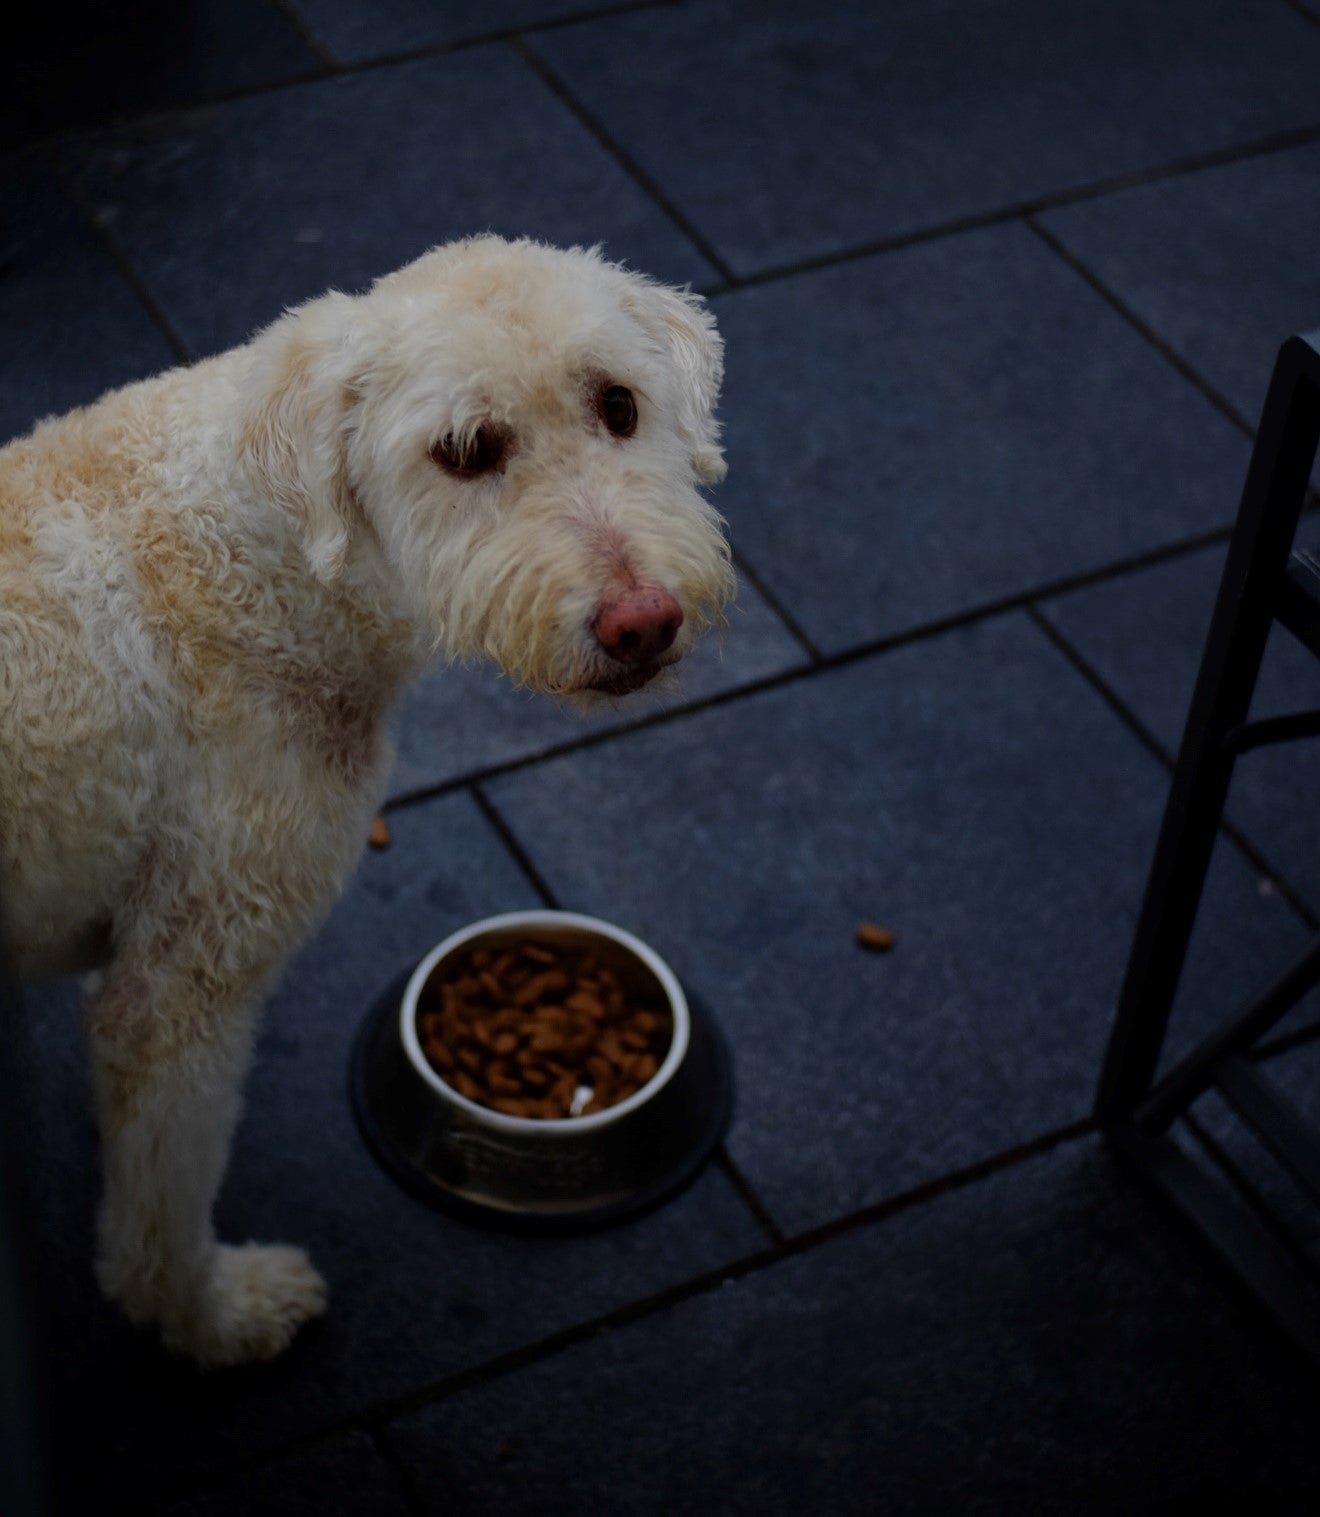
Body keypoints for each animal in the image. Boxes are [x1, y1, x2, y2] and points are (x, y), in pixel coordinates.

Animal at [0, 233, 734, 1365]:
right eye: (465, 449)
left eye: (620, 403)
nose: (642, 622)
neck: (252, 546)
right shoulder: (192, 975)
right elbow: (166, 1187)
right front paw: (212, 1316)